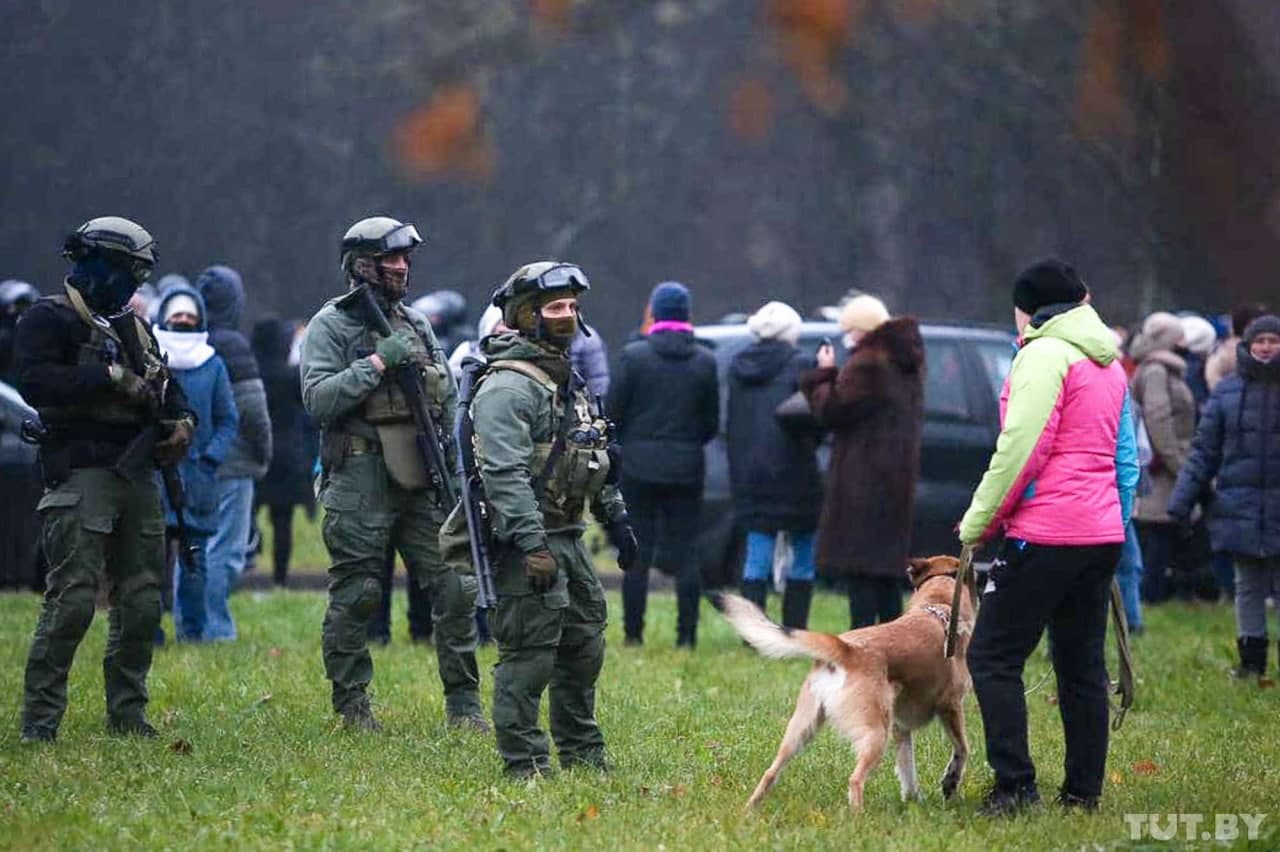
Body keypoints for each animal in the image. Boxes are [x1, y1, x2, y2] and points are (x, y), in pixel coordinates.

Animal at [716, 550, 972, 808]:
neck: (938, 604)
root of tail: (846, 649)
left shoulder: (901, 728)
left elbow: (907, 770)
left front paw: (914, 801)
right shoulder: (951, 705)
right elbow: (962, 748)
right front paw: (949, 783)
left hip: (801, 728)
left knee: (770, 772)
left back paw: (750, 810)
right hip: (876, 733)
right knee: (855, 779)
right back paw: (858, 816)